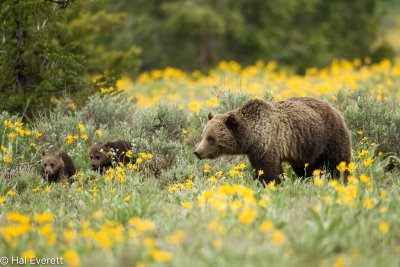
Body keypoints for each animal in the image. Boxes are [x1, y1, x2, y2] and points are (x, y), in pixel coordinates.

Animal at [195, 98, 352, 184]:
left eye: (211, 138)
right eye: (203, 136)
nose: (197, 152)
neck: (251, 137)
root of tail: (334, 108)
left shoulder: (267, 145)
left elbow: (269, 169)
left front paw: (270, 184)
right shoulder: (255, 151)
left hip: (329, 135)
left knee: (337, 162)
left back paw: (341, 179)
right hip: (305, 148)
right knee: (305, 168)